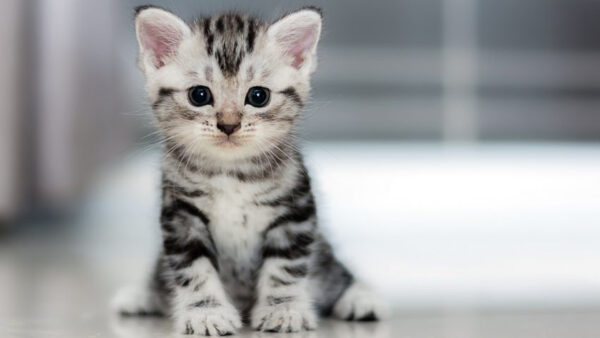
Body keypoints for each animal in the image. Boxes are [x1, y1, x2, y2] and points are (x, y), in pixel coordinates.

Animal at [113, 5, 390, 336]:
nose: (229, 125)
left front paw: (282, 310)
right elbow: (194, 268)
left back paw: (360, 298)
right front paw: (207, 313)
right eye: (199, 95)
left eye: (258, 96)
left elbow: (285, 268)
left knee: (334, 272)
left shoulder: (295, 210)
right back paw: (140, 296)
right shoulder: (180, 214)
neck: (232, 173)